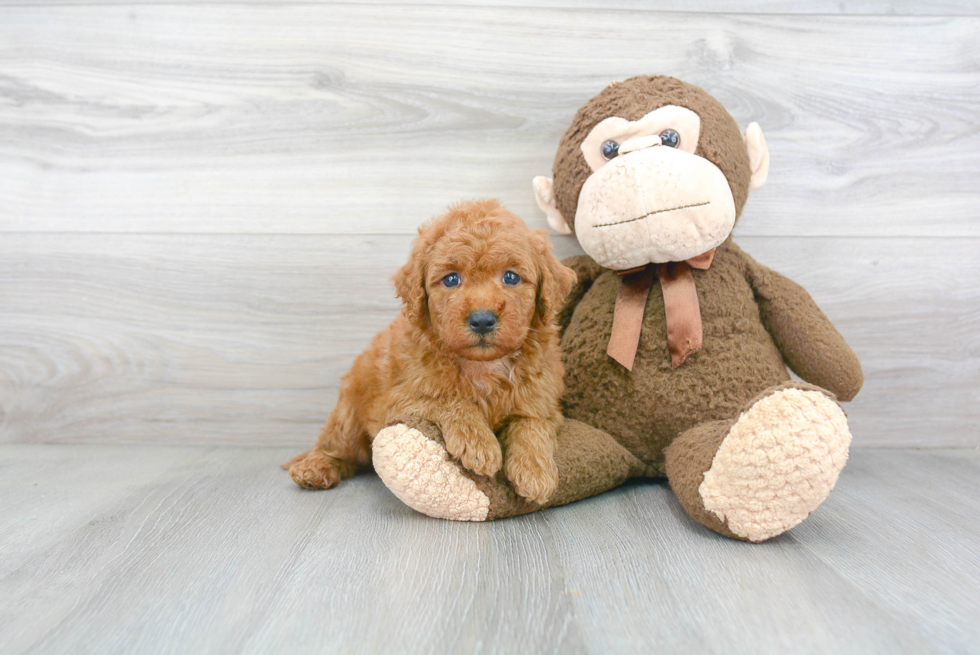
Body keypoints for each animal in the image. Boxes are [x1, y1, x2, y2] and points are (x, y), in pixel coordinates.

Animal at [282, 201, 576, 508]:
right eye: (451, 279)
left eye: (511, 277)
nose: (482, 320)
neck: (483, 366)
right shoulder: (397, 399)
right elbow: (448, 398)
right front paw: (478, 442)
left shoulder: (543, 401)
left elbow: (532, 423)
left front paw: (535, 471)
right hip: (350, 412)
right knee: (336, 447)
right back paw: (315, 467)